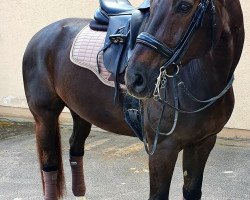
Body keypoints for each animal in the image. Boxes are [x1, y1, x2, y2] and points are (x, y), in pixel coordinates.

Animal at [23, 0, 244, 200]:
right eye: (152, 6)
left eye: (185, 6)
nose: (134, 77)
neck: (198, 78)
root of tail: (40, 35)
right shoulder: (162, 149)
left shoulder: (203, 143)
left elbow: (192, 191)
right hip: (44, 117)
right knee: (50, 166)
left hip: (80, 112)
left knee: (75, 149)